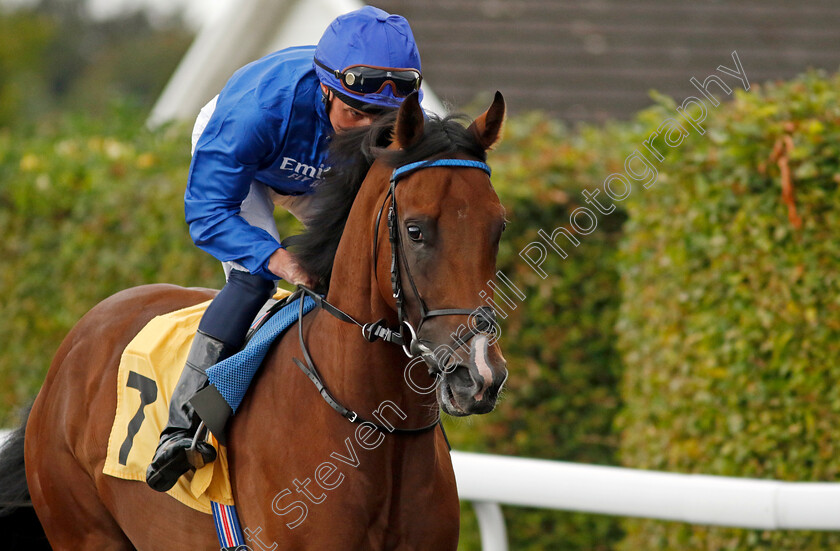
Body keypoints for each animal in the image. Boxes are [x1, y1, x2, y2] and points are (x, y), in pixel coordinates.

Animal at [8, 92, 506, 548]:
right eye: (415, 230)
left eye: (498, 226)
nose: (480, 373)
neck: (374, 428)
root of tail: (75, 342)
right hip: (83, 529)